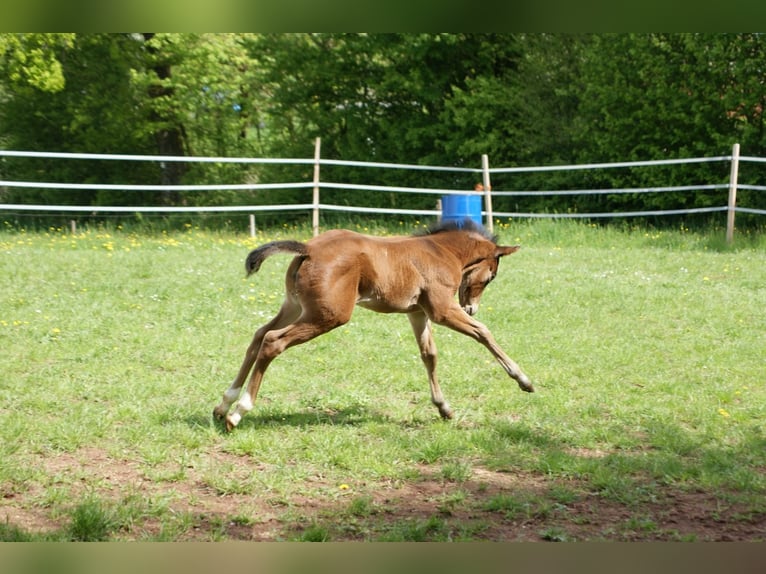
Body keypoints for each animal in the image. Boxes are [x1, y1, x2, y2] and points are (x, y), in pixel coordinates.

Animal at [213, 219, 534, 431]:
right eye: (491, 276)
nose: (471, 307)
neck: (442, 252)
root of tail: (308, 248)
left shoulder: (417, 313)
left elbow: (429, 355)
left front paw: (444, 408)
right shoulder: (442, 310)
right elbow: (483, 332)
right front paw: (524, 380)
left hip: (294, 306)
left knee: (258, 336)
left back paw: (224, 404)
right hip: (328, 315)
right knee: (272, 341)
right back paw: (238, 412)